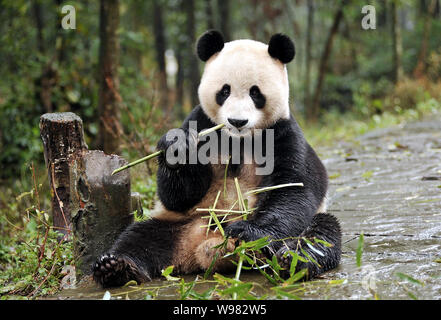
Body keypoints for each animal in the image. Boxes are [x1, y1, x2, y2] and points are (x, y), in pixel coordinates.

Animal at [92, 30, 340, 286]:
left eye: (255, 93)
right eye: (224, 91)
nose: (237, 121)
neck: (239, 139)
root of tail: (198, 251)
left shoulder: (282, 134)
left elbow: (292, 189)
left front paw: (247, 232)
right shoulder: (200, 122)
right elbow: (179, 196)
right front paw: (177, 148)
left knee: (320, 234)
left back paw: (291, 260)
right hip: (175, 223)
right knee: (140, 237)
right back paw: (115, 267)